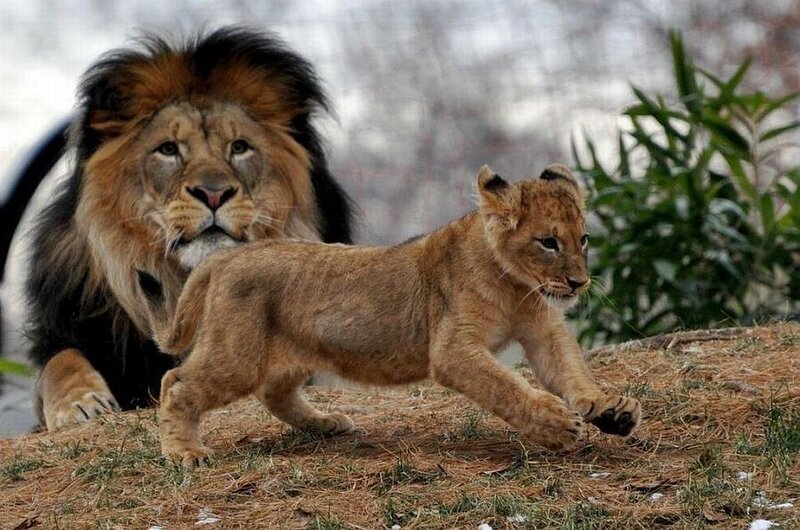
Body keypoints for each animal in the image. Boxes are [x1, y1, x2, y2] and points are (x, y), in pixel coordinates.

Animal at [25, 27, 354, 431]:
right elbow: (61, 362)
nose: (213, 193)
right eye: (168, 149)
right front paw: (80, 403)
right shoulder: (67, 329)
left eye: (239, 147)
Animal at [149, 164, 642, 467]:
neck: (517, 287)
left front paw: (609, 409)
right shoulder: (453, 350)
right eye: (548, 242)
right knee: (176, 383)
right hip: (238, 356)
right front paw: (557, 426)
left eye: (584, 239)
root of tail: (228, 255)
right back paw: (185, 453)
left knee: (274, 392)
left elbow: (571, 372)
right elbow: (507, 387)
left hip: (293, 351)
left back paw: (326, 424)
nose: (579, 283)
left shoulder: (543, 331)